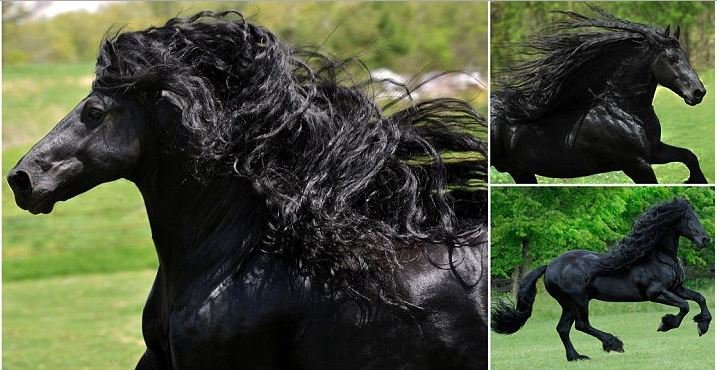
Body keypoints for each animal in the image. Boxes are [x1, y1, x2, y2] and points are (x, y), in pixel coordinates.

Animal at [490, 5, 708, 184]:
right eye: (672, 59)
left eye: (685, 56)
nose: (699, 92)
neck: (623, 110)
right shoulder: (635, 164)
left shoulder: (654, 151)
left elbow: (689, 156)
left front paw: (693, 181)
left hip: (521, 171)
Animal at [492, 199, 712, 362]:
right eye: (687, 217)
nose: (705, 240)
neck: (659, 257)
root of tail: (549, 266)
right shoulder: (656, 293)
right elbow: (684, 306)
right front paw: (666, 324)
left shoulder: (678, 288)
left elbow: (699, 298)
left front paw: (702, 325)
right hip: (579, 301)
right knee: (581, 325)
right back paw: (613, 343)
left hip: (568, 305)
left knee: (563, 328)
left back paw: (576, 357)